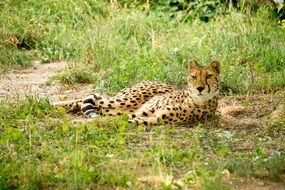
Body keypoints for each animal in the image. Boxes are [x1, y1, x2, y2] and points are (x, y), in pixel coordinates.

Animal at [53, 59, 220, 124]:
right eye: (194, 77)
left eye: (209, 76)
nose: (200, 88)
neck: (194, 99)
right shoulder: (148, 110)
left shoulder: (154, 116)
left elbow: (130, 120)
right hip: (126, 100)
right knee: (87, 100)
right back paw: (51, 104)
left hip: (117, 107)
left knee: (93, 104)